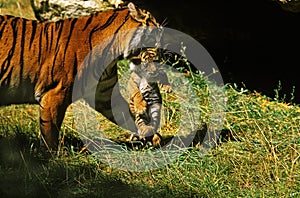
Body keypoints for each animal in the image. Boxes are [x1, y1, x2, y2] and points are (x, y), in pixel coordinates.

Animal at [0, 2, 162, 152]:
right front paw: (50, 158)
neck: (114, 52)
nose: (162, 58)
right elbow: (49, 131)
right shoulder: (55, 94)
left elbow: (126, 114)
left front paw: (153, 136)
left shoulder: (104, 93)